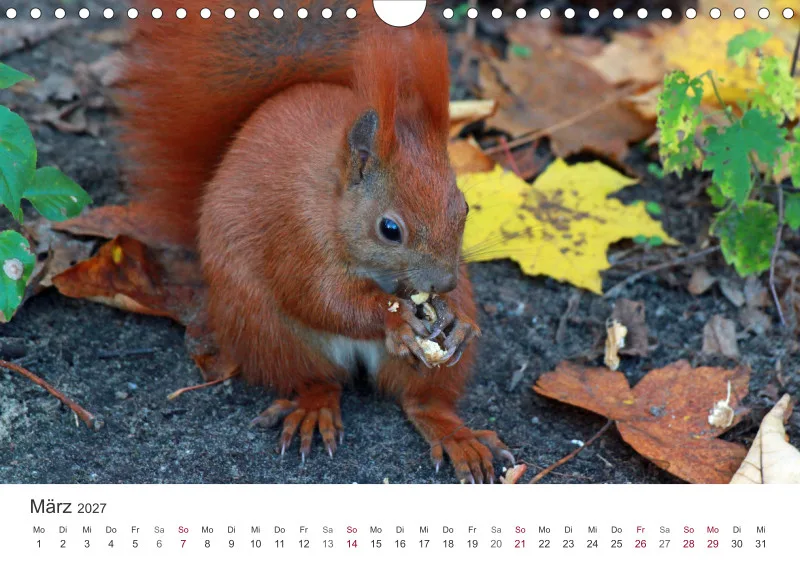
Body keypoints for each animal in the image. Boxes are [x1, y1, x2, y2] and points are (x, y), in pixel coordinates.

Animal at [119, 0, 513, 483]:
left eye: (465, 208)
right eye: (390, 229)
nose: (444, 284)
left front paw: (456, 322)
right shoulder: (296, 233)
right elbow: (319, 298)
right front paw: (394, 318)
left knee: (422, 401)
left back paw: (458, 436)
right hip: (270, 332)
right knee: (316, 379)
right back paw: (315, 409)